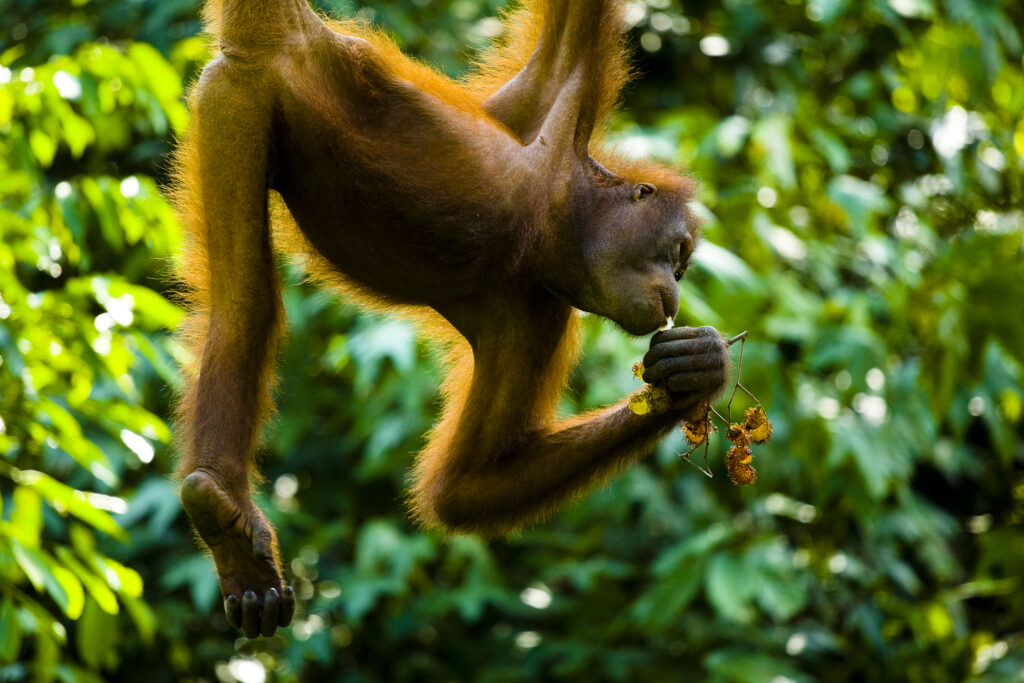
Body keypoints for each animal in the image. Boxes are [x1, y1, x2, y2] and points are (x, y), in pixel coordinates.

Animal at [171, 0, 730, 638]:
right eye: (675, 256)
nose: (674, 292)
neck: (548, 224)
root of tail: (290, 40)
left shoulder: (534, 318)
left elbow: (465, 487)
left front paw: (694, 374)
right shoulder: (563, 114)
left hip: (225, 104)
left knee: (238, 301)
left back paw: (221, 520)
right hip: (241, 100)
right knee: (249, 305)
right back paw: (229, 520)